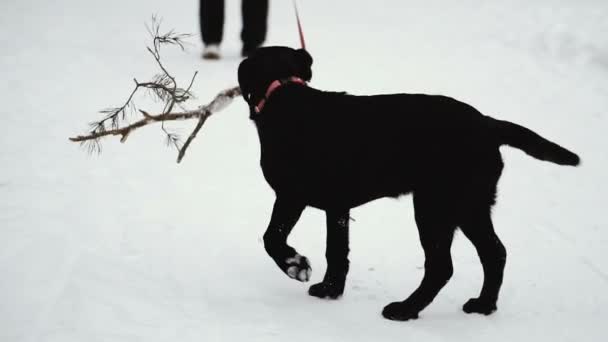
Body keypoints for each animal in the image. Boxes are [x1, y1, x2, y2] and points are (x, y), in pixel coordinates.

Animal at [238, 47, 580, 320]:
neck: (283, 94)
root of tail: (488, 124)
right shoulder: (337, 206)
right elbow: (336, 252)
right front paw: (330, 289)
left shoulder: (291, 195)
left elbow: (272, 238)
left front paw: (295, 265)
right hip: (470, 207)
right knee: (495, 253)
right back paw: (483, 305)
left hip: (435, 207)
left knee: (442, 266)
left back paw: (405, 309)